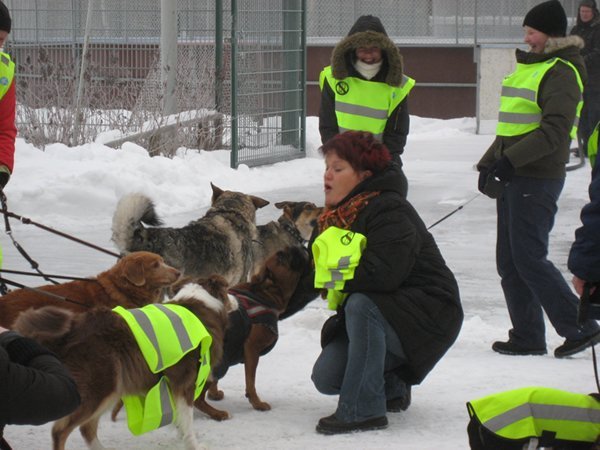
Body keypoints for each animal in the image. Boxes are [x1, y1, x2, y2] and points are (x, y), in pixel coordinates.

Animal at [12, 274, 236, 450]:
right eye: (227, 290)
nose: (236, 299)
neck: (201, 301)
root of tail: (68, 332)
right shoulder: (185, 382)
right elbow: (187, 420)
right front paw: (193, 444)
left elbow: (180, 420)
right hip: (100, 387)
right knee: (61, 430)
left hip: (112, 387)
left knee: (86, 428)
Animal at [196, 244, 310, 420]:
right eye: (281, 257)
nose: (296, 246)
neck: (264, 294)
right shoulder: (251, 349)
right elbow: (251, 381)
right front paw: (256, 403)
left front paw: (214, 393)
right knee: (196, 400)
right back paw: (217, 414)